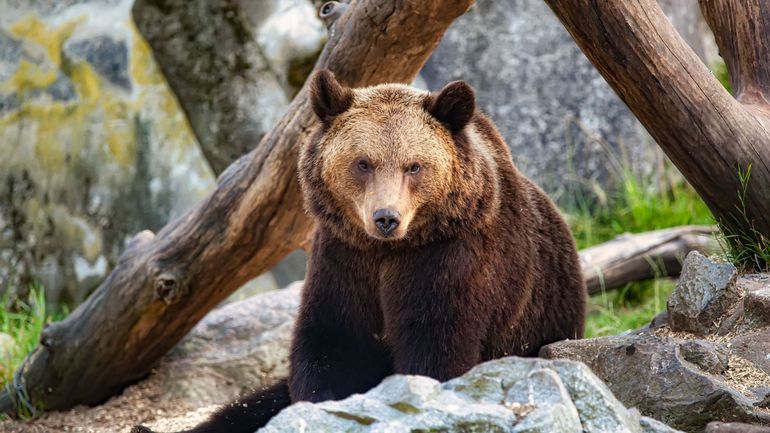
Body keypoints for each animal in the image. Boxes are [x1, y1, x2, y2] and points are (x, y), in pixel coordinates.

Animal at [134, 71, 584, 432]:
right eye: (363, 162)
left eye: (414, 165)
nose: (386, 218)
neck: (389, 250)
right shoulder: (343, 257)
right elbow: (333, 343)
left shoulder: (453, 259)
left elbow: (437, 347)